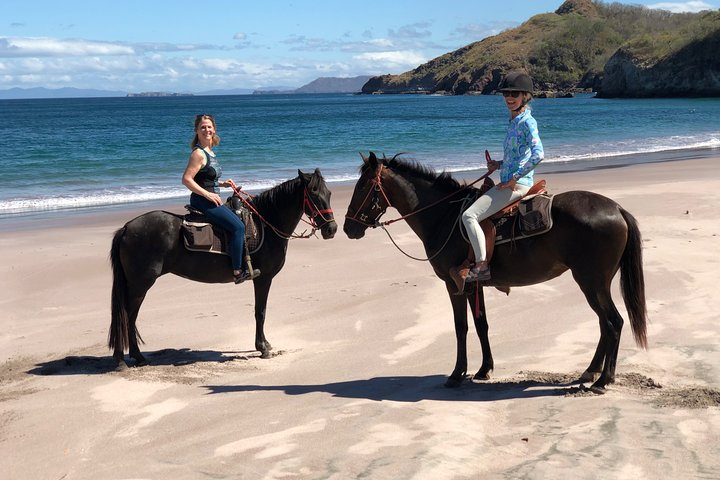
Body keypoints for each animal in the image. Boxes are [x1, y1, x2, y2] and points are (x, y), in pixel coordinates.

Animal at [109, 169, 338, 368]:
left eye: (328, 193)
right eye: (314, 194)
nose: (332, 229)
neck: (266, 223)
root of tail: (127, 228)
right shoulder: (263, 278)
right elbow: (260, 312)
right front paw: (262, 347)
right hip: (140, 284)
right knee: (127, 316)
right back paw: (126, 359)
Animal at [344, 154, 648, 394]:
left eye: (363, 187)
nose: (348, 227)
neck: (443, 218)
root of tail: (617, 208)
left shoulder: (454, 286)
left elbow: (461, 327)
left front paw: (457, 374)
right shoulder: (473, 285)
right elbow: (482, 325)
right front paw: (484, 369)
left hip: (591, 281)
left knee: (613, 323)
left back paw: (603, 380)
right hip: (595, 283)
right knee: (604, 324)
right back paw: (591, 371)